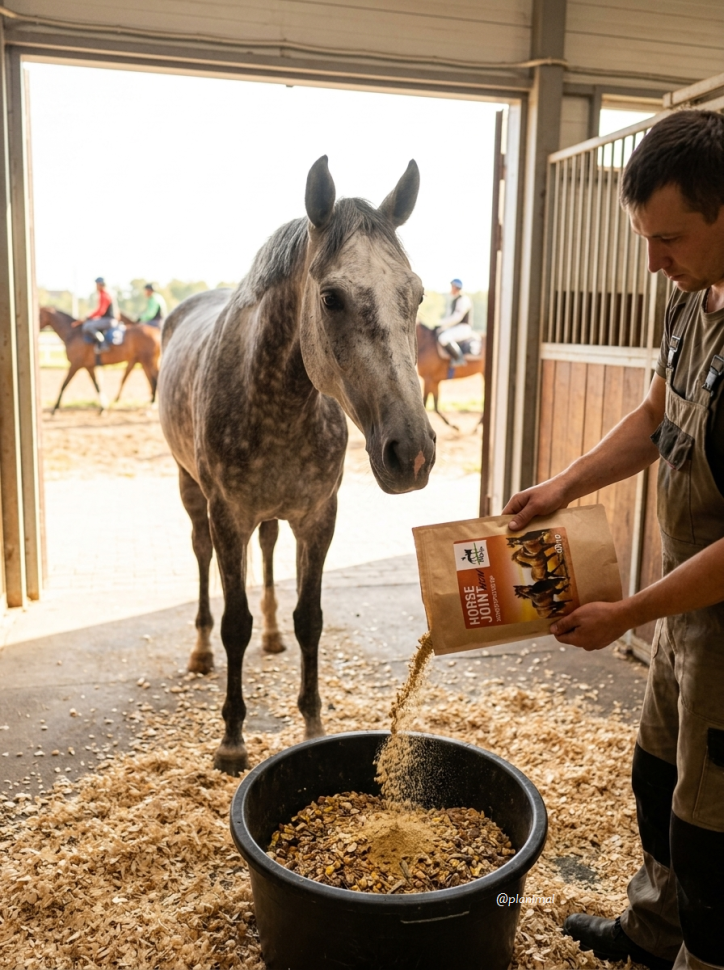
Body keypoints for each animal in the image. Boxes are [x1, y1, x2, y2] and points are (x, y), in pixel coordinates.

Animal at [158, 156, 436, 776]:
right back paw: (200, 650)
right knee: (201, 558)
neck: (278, 400)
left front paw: (312, 723)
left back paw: (272, 636)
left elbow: (310, 617)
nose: (411, 453)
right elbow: (235, 621)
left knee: (267, 549)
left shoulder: (317, 517)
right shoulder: (228, 515)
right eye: (330, 298)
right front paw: (232, 739)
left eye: (417, 294)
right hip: (191, 493)